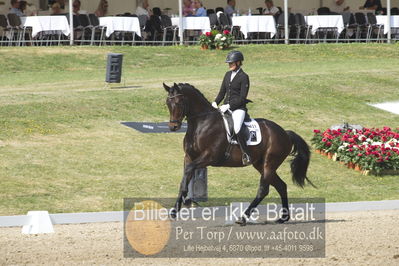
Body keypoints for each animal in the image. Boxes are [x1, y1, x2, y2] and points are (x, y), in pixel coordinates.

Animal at [163, 82, 316, 224]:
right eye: (168, 103)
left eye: (179, 102)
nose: (173, 127)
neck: (202, 123)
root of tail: (285, 133)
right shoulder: (189, 157)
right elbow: (185, 178)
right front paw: (177, 208)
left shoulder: (210, 157)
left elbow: (188, 172)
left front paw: (185, 202)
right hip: (260, 164)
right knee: (281, 186)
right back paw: (283, 218)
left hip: (269, 163)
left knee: (264, 190)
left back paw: (243, 217)